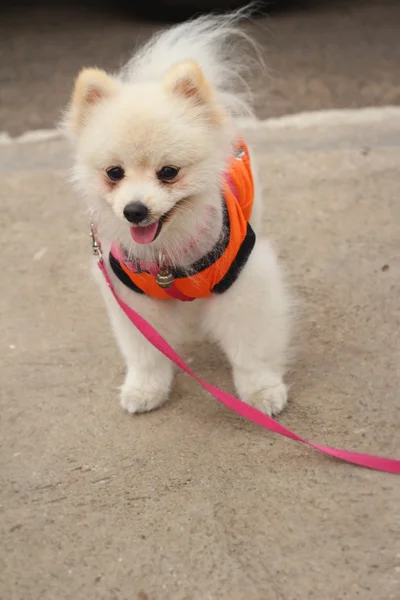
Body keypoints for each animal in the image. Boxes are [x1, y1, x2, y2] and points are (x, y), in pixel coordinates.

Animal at [64, 9, 292, 414]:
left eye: (168, 172)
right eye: (114, 173)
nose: (135, 210)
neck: (166, 259)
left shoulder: (245, 280)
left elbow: (252, 348)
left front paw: (261, 392)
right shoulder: (133, 299)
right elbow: (146, 354)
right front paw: (146, 389)